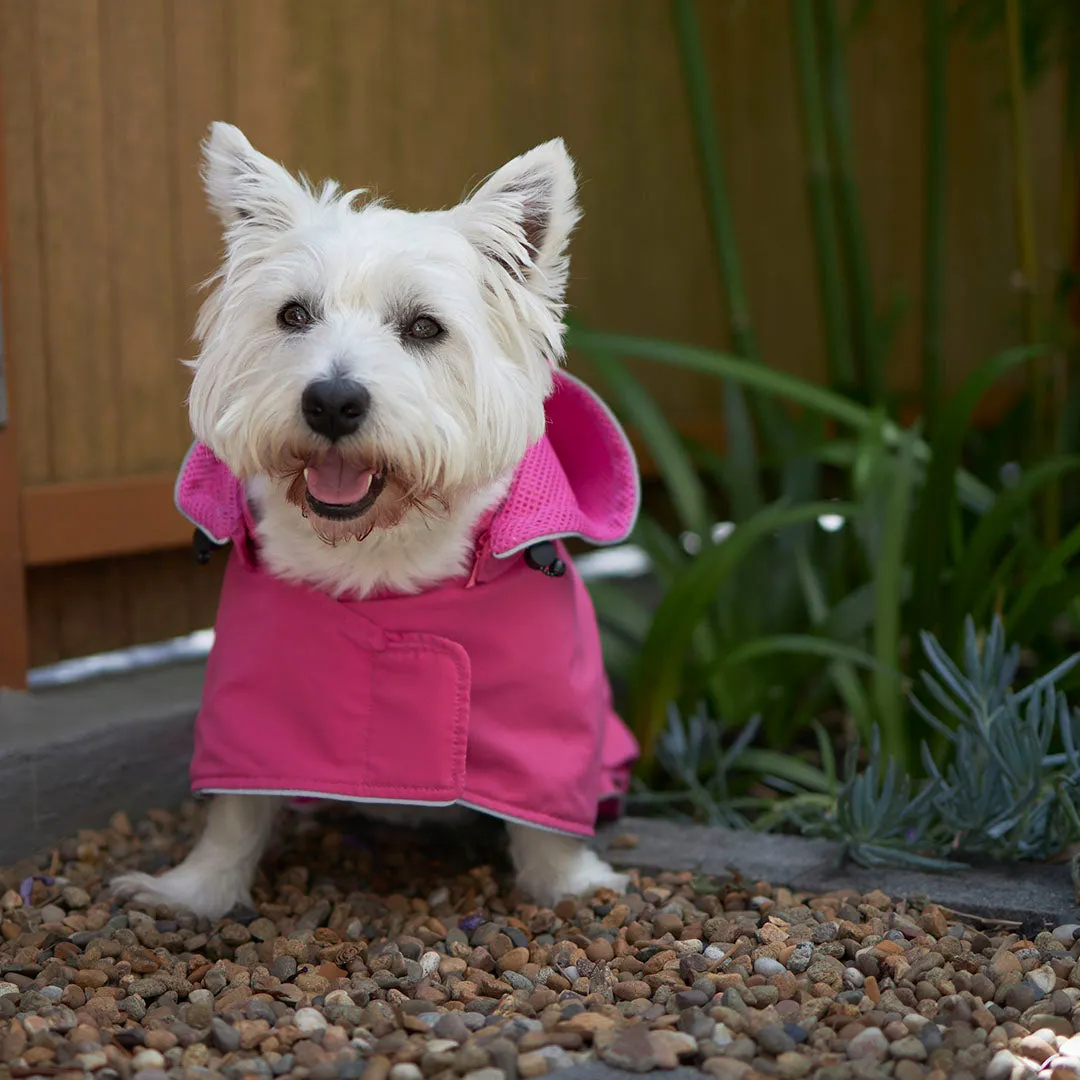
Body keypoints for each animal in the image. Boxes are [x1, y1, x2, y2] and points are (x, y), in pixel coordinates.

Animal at [113, 126, 635, 920]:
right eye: (293, 314)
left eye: (423, 326)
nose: (331, 401)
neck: (377, 557)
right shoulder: (250, 686)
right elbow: (237, 801)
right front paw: (192, 891)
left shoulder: (547, 707)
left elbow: (544, 801)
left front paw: (573, 884)